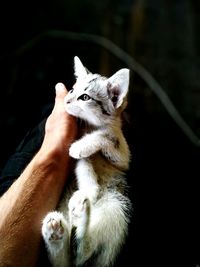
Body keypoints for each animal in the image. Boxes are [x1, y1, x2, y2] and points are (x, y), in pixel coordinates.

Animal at [41, 56, 132, 267]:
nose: (66, 100)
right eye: (72, 90)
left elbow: (107, 136)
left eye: (85, 97)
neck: (91, 126)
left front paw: (82, 147)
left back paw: (79, 213)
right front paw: (90, 187)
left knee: (82, 255)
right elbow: (83, 163)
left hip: (115, 205)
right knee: (67, 260)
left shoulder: (123, 156)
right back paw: (56, 231)